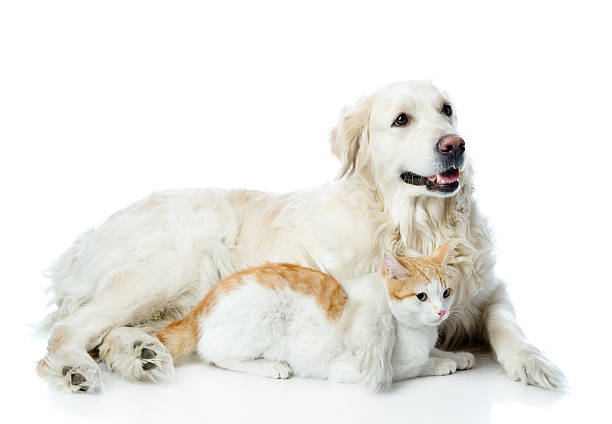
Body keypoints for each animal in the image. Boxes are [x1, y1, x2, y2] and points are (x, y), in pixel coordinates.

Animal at [157, 243, 474, 392]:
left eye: (446, 292)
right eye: (421, 296)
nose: (441, 312)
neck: (418, 334)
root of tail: (208, 298)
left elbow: (435, 351)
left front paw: (456, 355)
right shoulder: (353, 368)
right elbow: (413, 367)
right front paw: (440, 364)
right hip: (261, 319)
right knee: (216, 355)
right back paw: (270, 366)